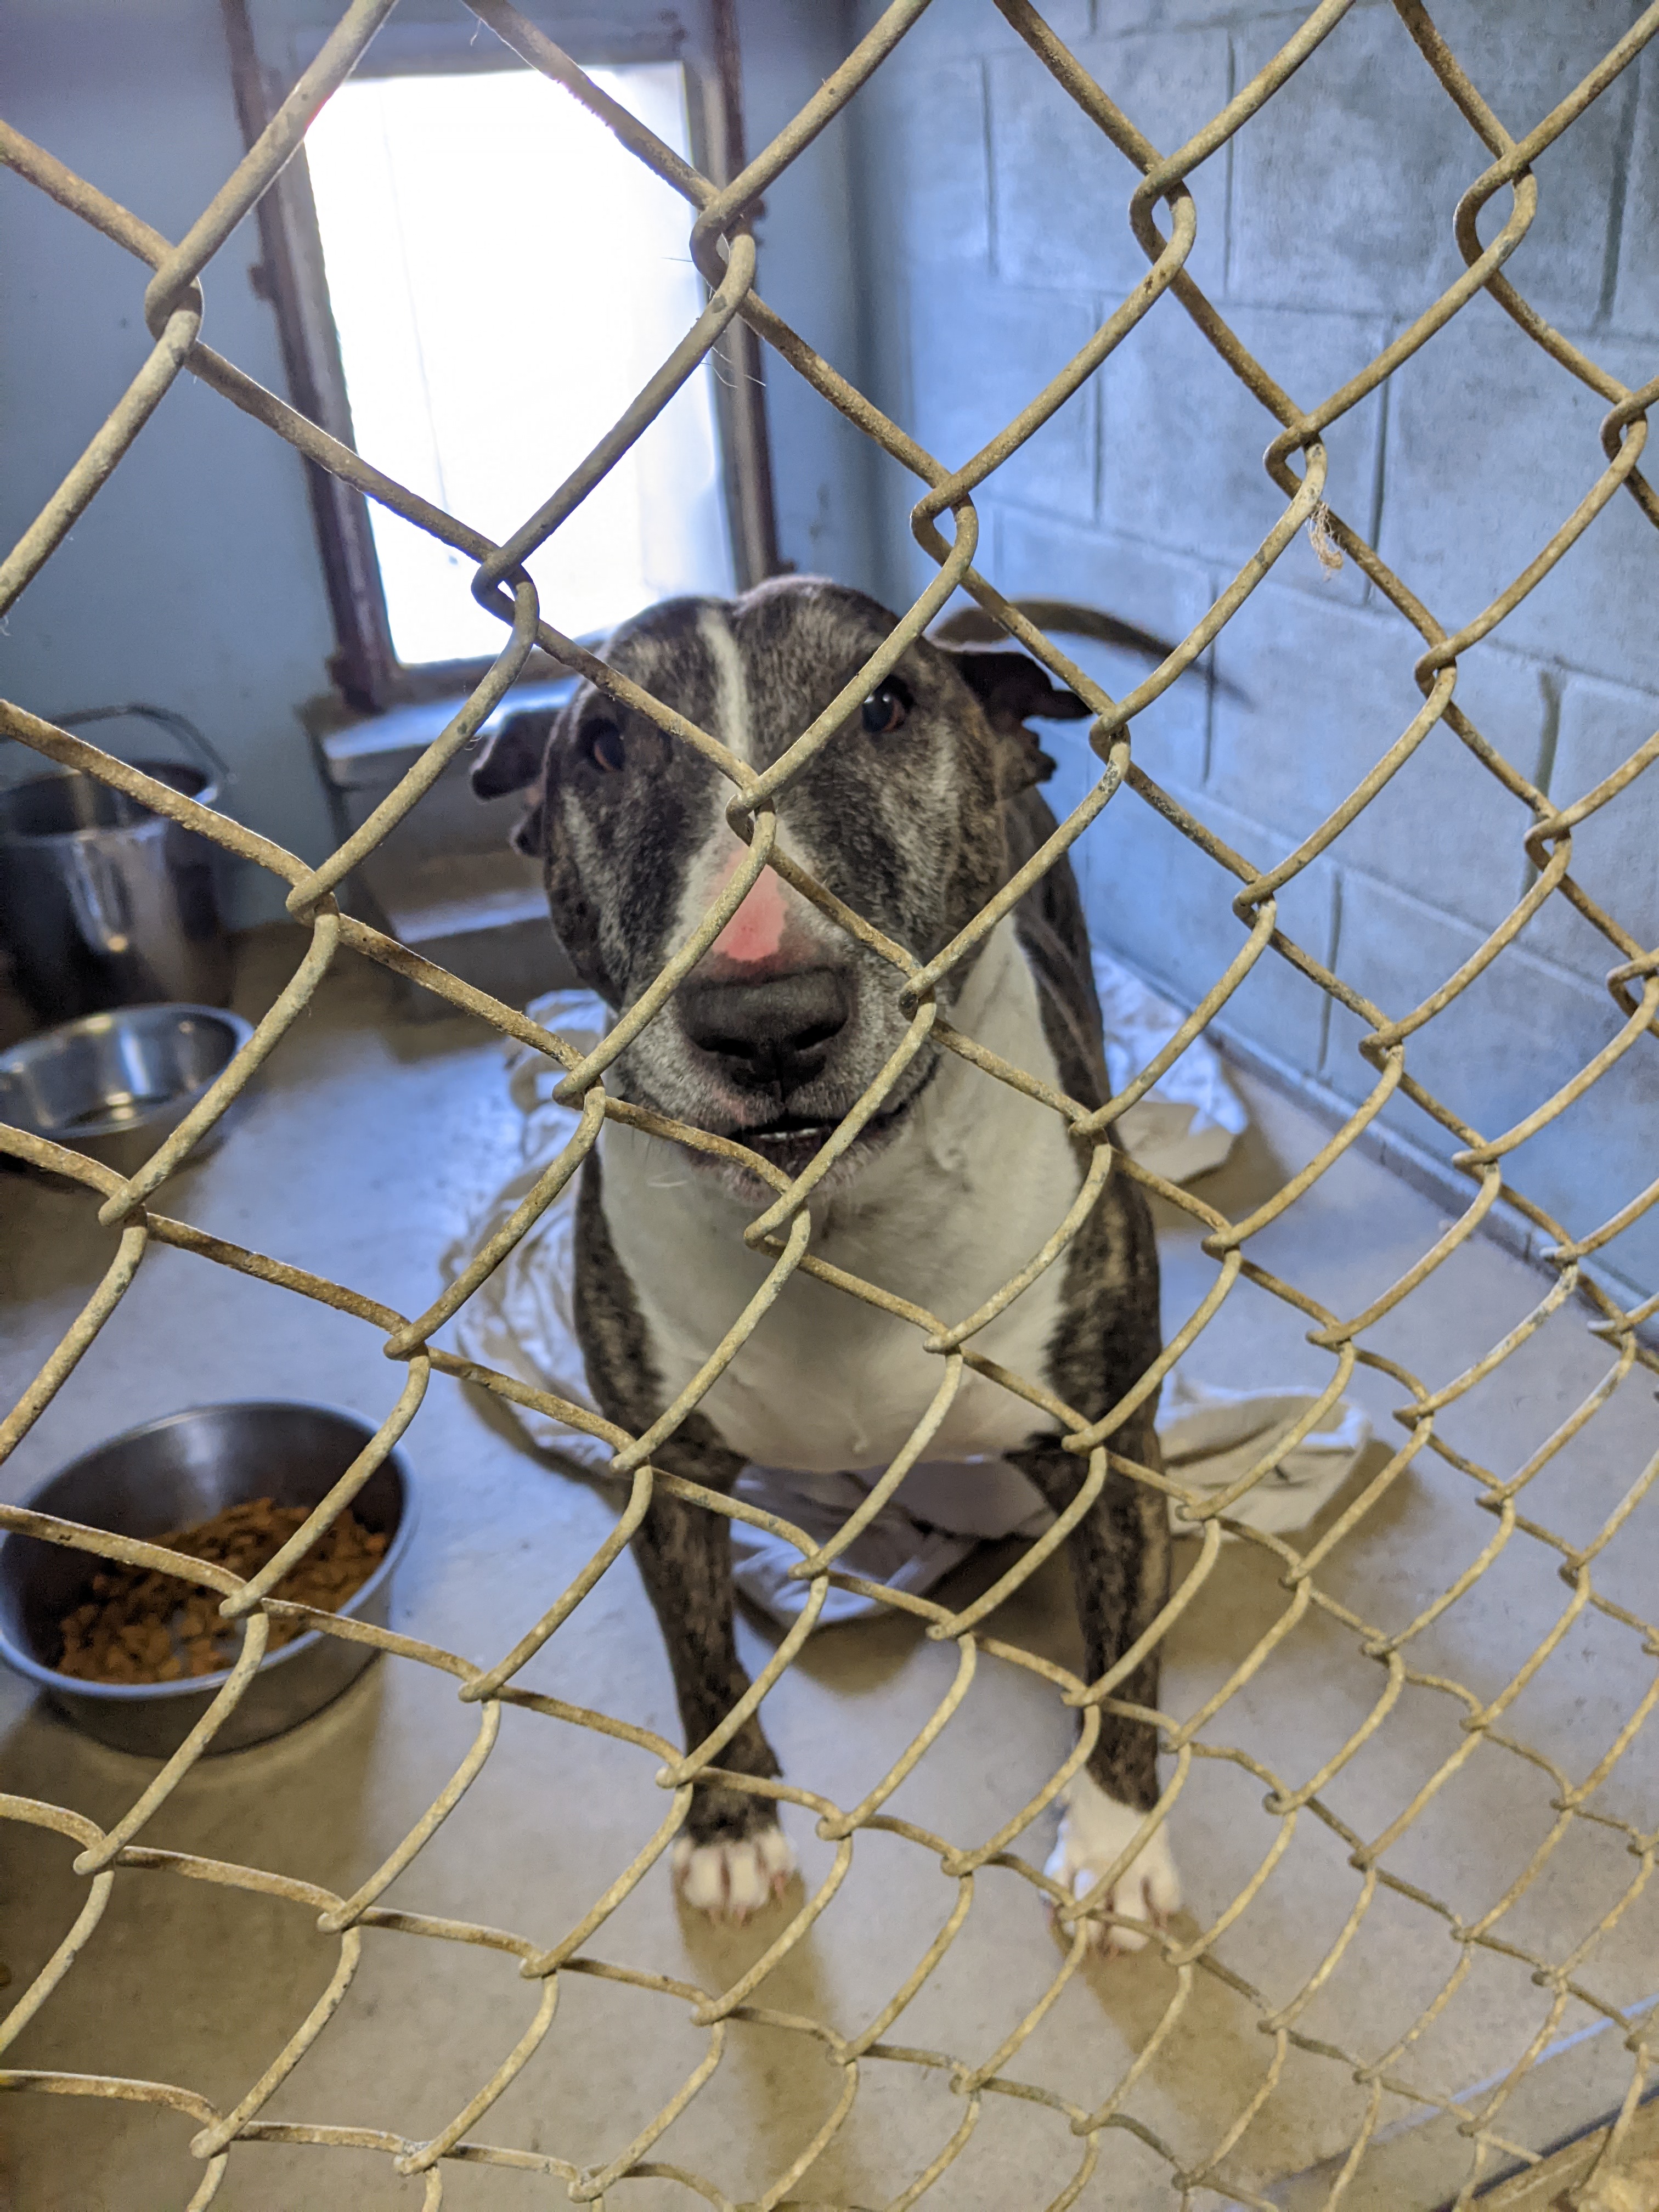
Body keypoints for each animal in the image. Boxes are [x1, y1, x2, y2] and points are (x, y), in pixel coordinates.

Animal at [471, 575, 1186, 1955]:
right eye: (603, 745)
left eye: (889, 705)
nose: (765, 1020)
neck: (838, 1229)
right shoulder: (670, 1471)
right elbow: (701, 1657)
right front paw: (731, 1830)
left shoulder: (1108, 1438)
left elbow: (1124, 1651)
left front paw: (1119, 1842)